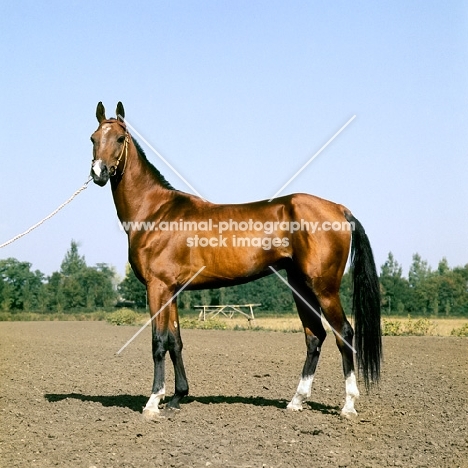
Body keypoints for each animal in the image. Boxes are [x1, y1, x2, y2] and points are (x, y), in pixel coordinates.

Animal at [89, 100, 382, 418]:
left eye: (120, 138)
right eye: (93, 138)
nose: (98, 172)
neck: (155, 212)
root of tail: (339, 208)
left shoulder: (158, 288)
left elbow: (158, 342)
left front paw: (154, 401)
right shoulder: (172, 291)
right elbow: (175, 342)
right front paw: (178, 397)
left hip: (324, 288)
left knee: (344, 334)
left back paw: (348, 405)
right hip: (300, 286)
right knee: (315, 336)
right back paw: (296, 401)